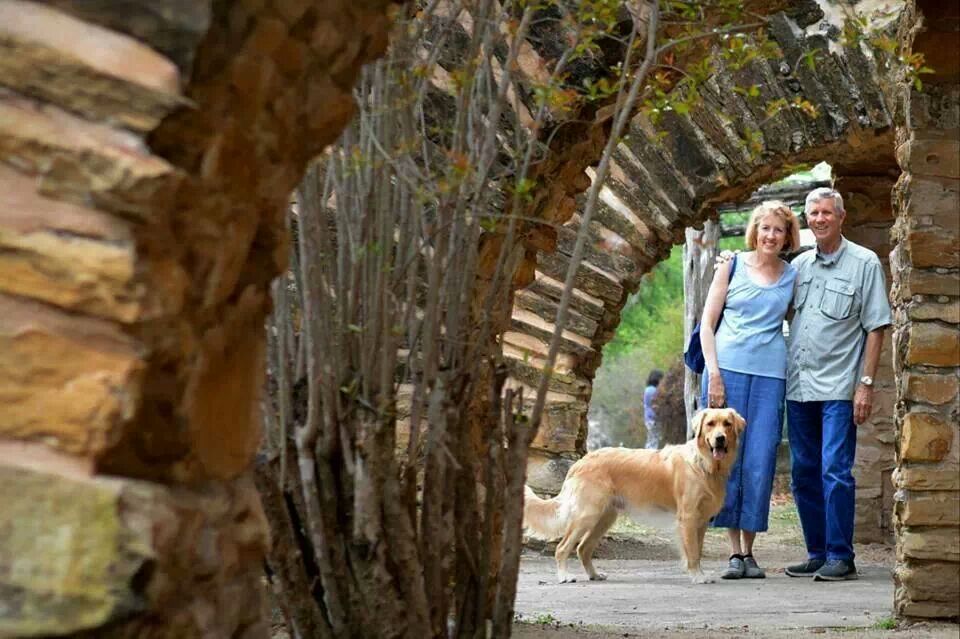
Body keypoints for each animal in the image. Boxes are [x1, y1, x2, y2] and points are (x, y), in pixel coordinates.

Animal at [524, 410, 744, 584]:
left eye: (727, 424)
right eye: (710, 424)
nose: (720, 438)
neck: (703, 464)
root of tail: (581, 461)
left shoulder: (702, 520)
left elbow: (697, 550)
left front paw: (699, 573)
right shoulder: (688, 517)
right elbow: (692, 552)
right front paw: (698, 576)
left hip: (604, 518)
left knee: (583, 549)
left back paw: (594, 575)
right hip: (587, 515)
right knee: (563, 548)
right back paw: (564, 576)